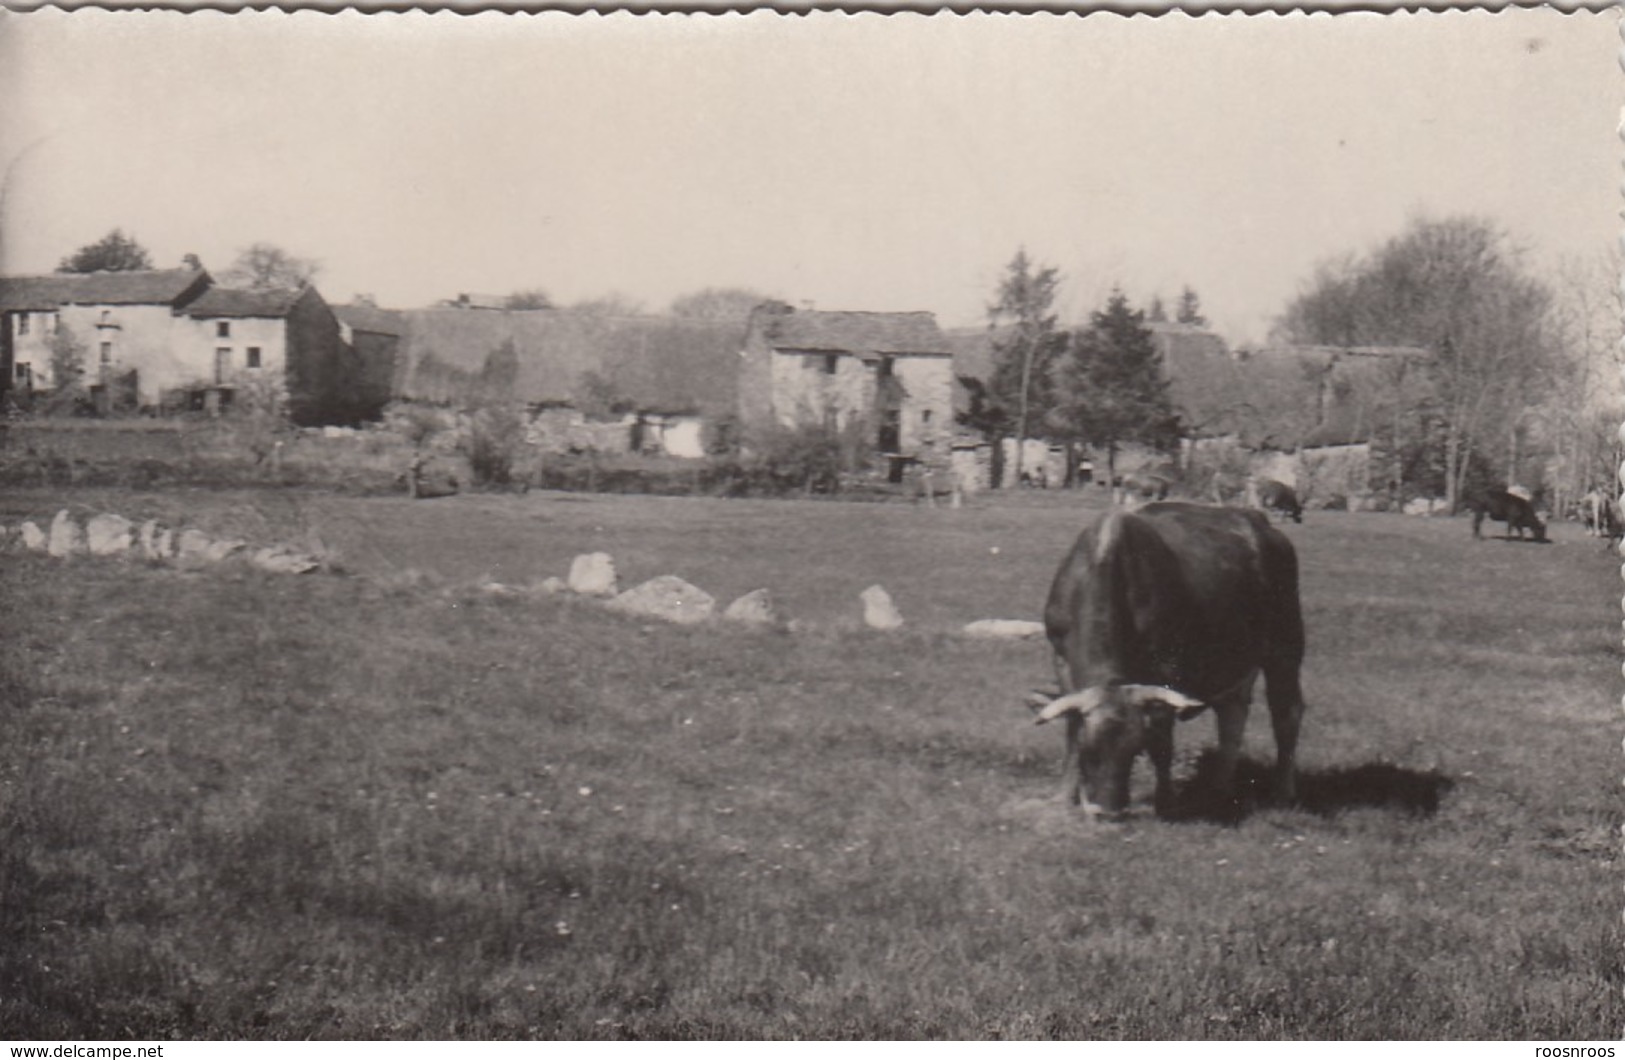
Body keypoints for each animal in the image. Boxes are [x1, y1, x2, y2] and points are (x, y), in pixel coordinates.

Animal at [1027, 500, 1306, 816]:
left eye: (1135, 748)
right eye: (1090, 751)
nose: (1108, 812)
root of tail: (1259, 522)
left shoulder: (1167, 668)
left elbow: (1163, 741)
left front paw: (1165, 801)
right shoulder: (1061, 658)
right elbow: (1071, 727)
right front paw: (1063, 796)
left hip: (1285, 647)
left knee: (1286, 715)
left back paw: (1283, 792)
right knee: (1232, 716)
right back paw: (1219, 789)